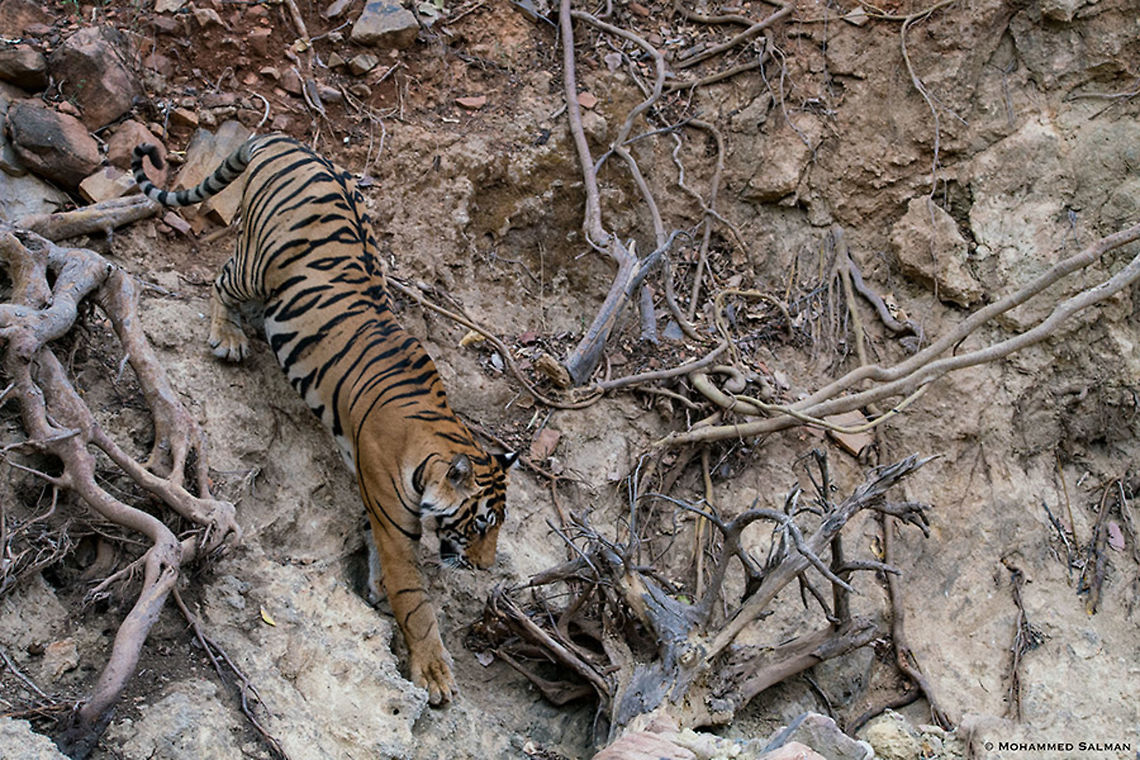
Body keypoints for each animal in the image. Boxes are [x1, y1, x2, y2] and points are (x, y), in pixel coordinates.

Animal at [132, 133, 516, 705]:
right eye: (482, 524)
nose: (487, 568)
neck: (439, 441)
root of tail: (284, 139)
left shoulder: (377, 504)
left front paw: (375, 589)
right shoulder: (391, 513)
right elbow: (415, 598)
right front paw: (433, 672)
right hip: (256, 264)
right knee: (221, 279)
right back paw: (228, 336)